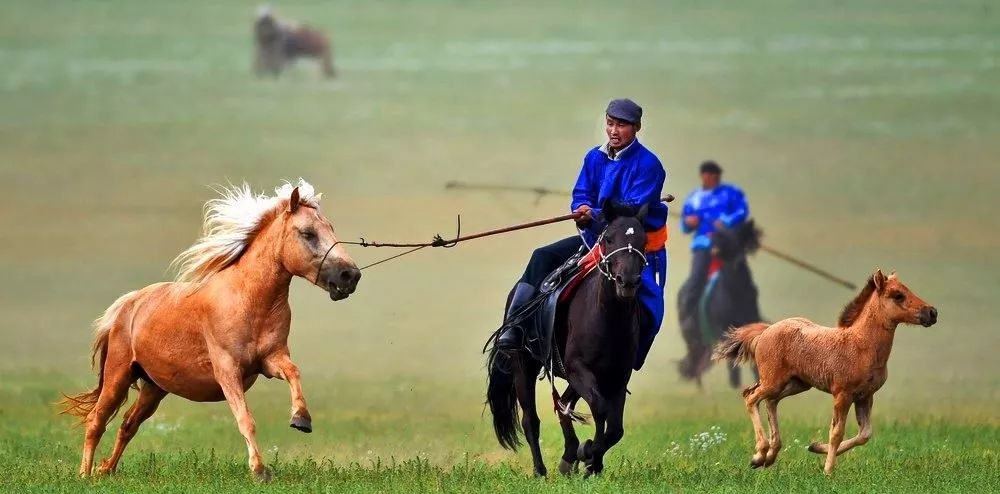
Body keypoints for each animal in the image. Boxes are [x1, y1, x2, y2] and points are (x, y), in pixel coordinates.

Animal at [484, 203, 648, 476]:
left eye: (643, 241)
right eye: (609, 238)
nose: (627, 281)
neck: (607, 319)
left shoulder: (617, 376)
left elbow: (615, 428)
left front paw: (590, 459)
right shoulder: (578, 368)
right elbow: (599, 408)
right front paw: (590, 454)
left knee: (562, 404)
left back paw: (569, 456)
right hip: (524, 365)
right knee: (531, 419)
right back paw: (541, 471)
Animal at [716, 270, 932, 474]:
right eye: (898, 295)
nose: (932, 312)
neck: (861, 346)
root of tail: (765, 332)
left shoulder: (865, 396)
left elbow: (864, 434)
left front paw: (815, 447)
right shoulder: (842, 394)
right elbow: (837, 432)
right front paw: (828, 470)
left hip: (796, 384)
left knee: (770, 401)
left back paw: (769, 456)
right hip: (773, 380)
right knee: (751, 396)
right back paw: (760, 453)